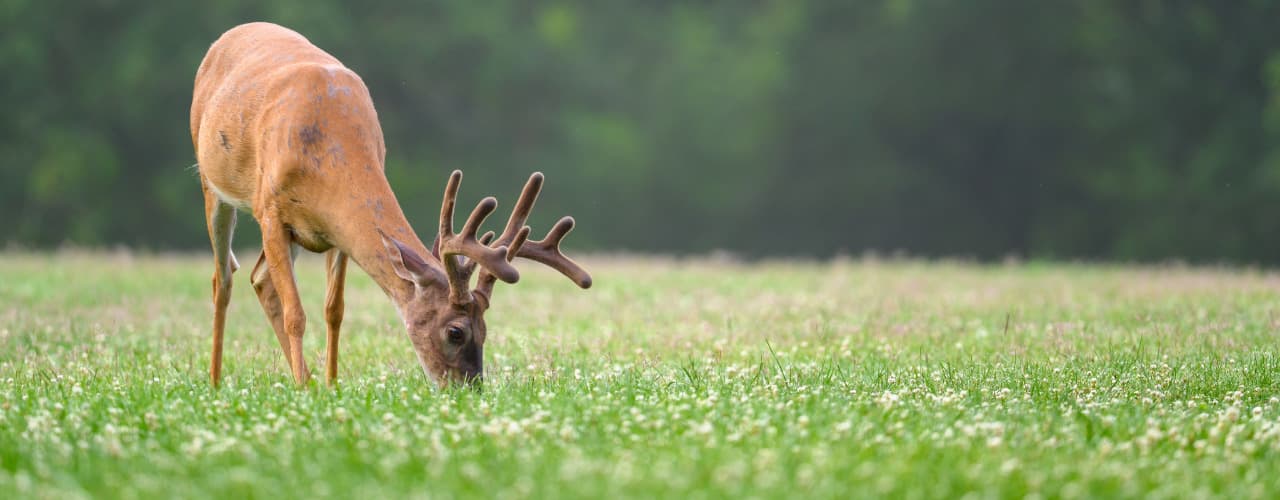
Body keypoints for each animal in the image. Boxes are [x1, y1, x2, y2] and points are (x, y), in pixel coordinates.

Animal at [188, 23, 588, 388]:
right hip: (212, 185)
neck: (323, 153)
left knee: (260, 279)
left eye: (486, 330)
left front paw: (330, 385)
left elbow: (334, 309)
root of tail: (227, 37)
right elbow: (296, 313)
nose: (469, 387)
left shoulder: (335, 232)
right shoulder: (270, 211)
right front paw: (304, 387)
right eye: (455, 331)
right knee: (223, 279)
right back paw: (217, 380)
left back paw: (304, 377)